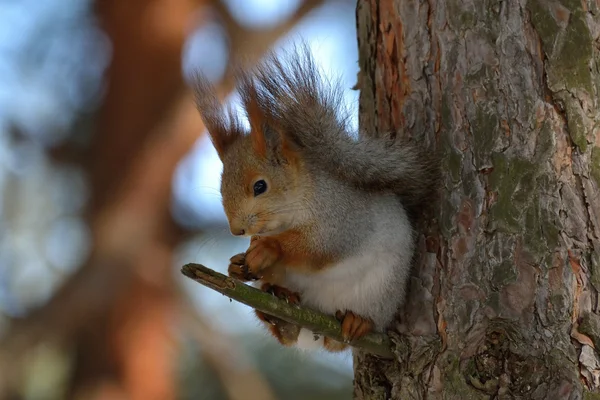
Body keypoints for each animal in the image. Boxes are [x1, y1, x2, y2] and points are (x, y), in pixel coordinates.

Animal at [193, 42, 440, 352]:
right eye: (223, 187)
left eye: (260, 186)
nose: (237, 230)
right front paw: (236, 265)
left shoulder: (342, 216)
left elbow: (321, 246)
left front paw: (270, 248)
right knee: (288, 333)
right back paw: (279, 311)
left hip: (382, 291)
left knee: (346, 337)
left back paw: (357, 322)